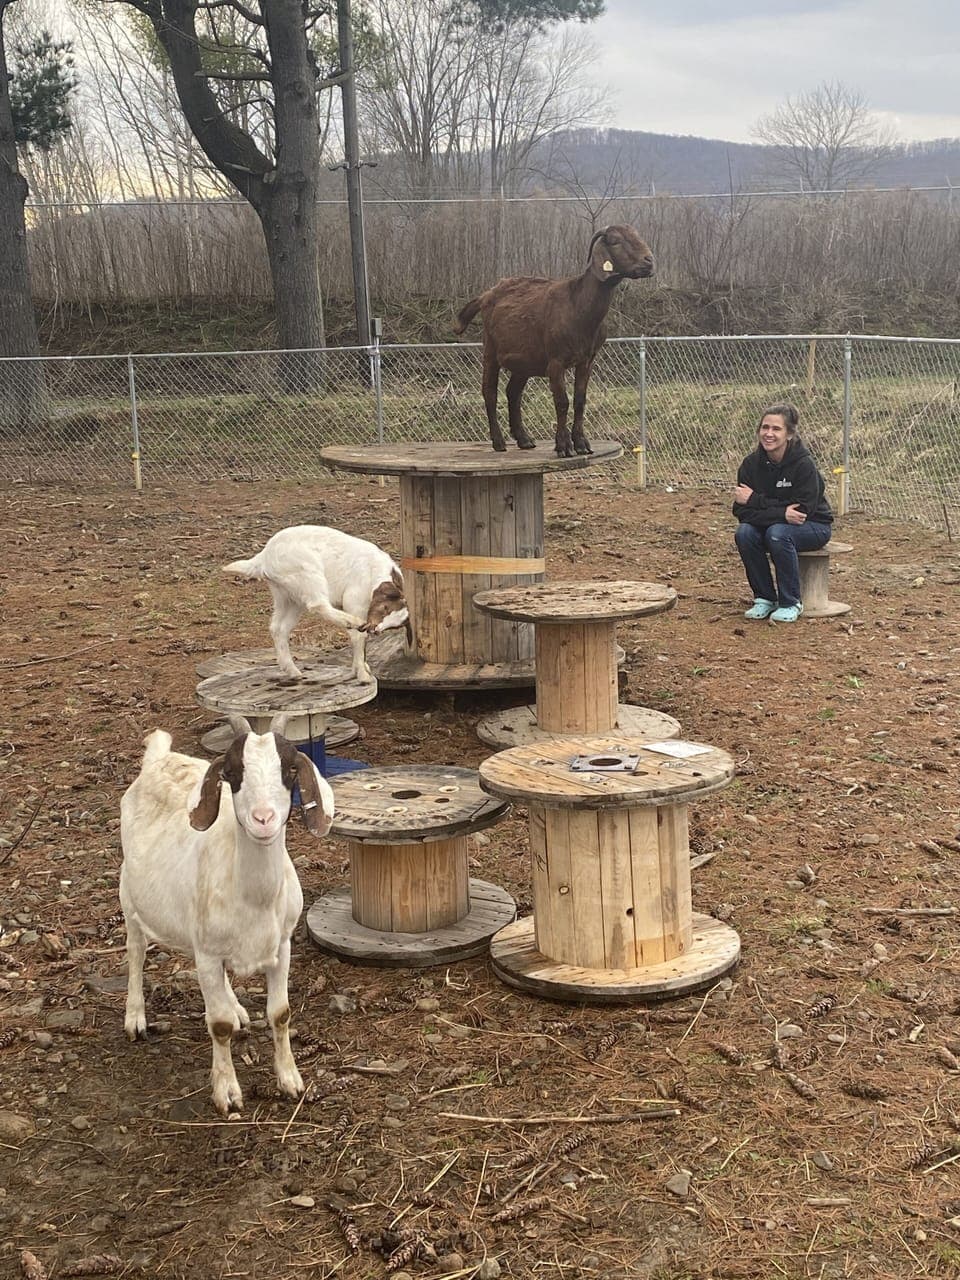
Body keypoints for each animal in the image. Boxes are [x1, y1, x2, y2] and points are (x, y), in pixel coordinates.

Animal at [119, 715, 334, 1116]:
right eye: (232, 772)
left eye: (289, 770)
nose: (263, 819)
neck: (253, 898)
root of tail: (159, 758)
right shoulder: (206, 954)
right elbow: (217, 1026)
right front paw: (227, 1092)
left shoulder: (281, 946)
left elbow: (280, 1013)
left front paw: (290, 1080)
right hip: (129, 896)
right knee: (136, 951)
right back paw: (135, 1016)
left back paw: (236, 1007)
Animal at [223, 525, 410, 684]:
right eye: (385, 607)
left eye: (394, 626)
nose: (376, 630)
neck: (375, 572)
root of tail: (263, 558)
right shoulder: (355, 600)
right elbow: (359, 637)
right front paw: (363, 674)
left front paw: (362, 668)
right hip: (308, 574)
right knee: (318, 605)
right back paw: (352, 622)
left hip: (288, 596)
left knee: (278, 627)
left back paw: (292, 670)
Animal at [453, 225, 654, 457]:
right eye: (615, 241)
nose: (649, 261)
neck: (578, 305)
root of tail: (486, 295)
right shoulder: (556, 361)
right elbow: (562, 401)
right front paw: (564, 446)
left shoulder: (586, 360)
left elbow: (579, 400)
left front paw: (582, 444)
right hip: (491, 350)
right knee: (490, 391)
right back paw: (499, 442)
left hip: (525, 361)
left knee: (513, 392)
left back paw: (524, 439)